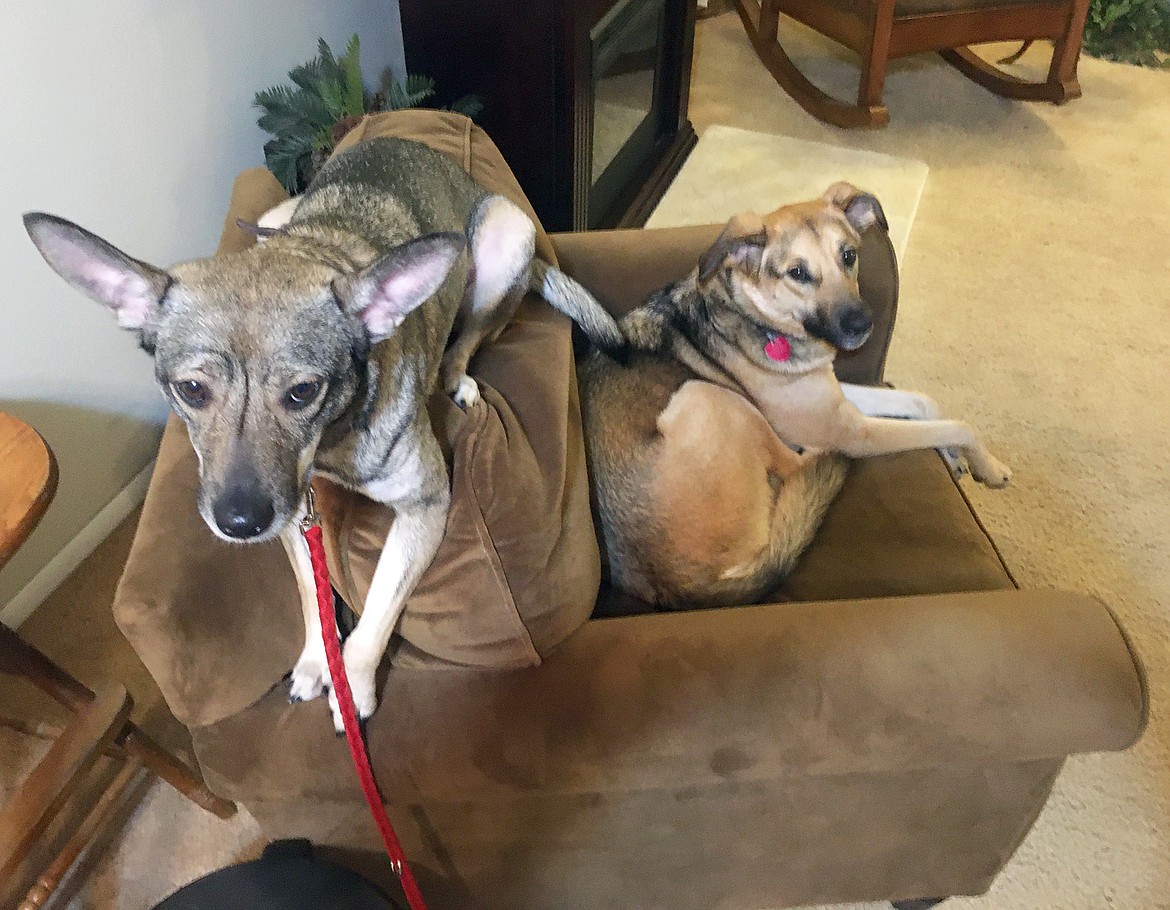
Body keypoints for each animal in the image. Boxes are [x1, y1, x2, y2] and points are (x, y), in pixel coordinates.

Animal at [575, 182, 1006, 608]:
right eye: (797, 273)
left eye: (848, 255)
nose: (862, 323)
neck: (757, 315)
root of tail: (680, 588)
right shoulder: (852, 430)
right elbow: (956, 425)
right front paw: (988, 465)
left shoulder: (833, 398)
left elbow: (923, 402)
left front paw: (956, 458)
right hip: (709, 397)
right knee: (797, 465)